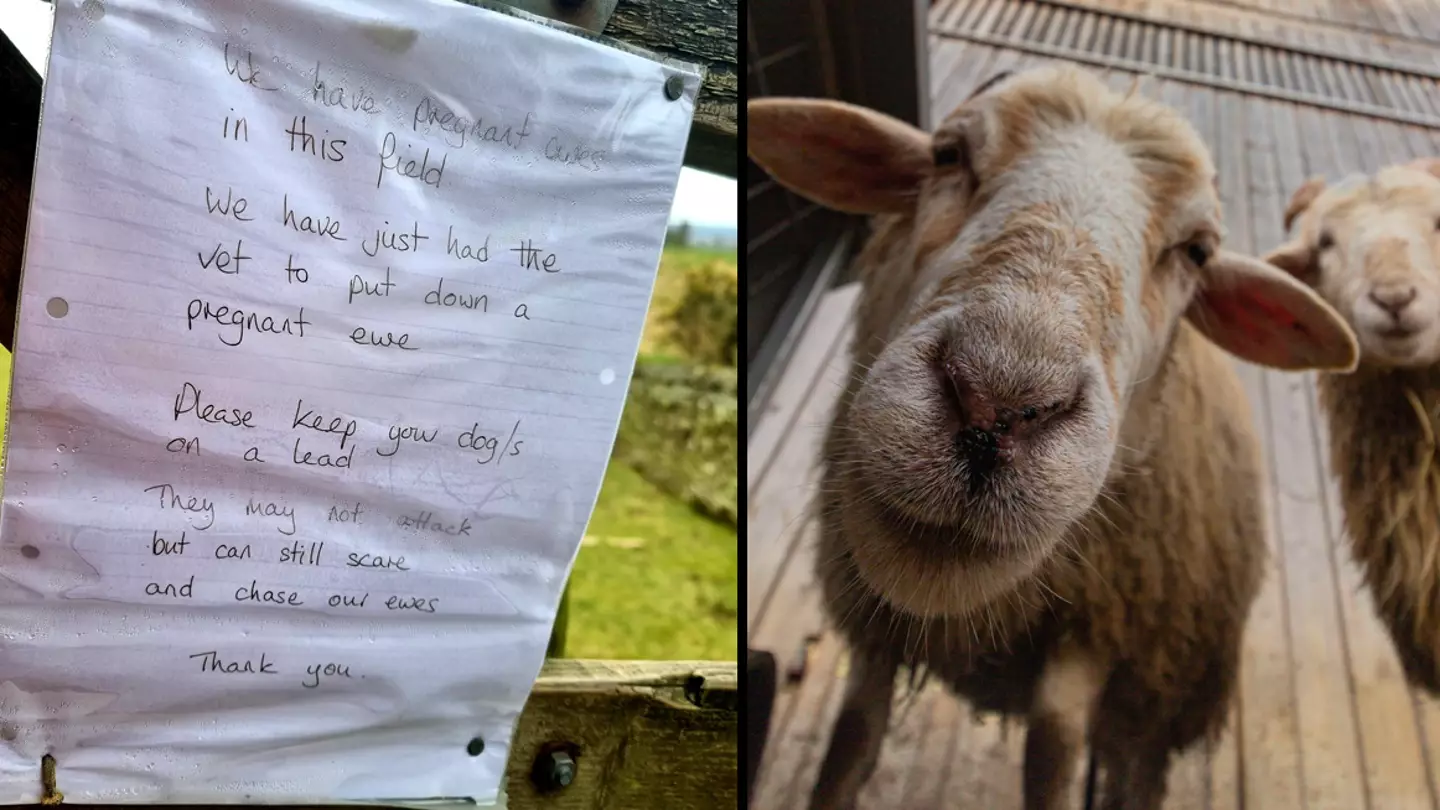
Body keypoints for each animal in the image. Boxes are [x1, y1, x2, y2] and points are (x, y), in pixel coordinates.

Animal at [748, 66, 1353, 807]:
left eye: (1198, 251)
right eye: (947, 154)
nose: (995, 408)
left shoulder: (1097, 630)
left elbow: (1052, 753)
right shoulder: (875, 633)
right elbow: (849, 745)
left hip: (1158, 690)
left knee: (1133, 763)